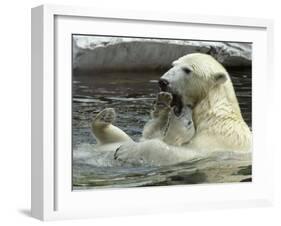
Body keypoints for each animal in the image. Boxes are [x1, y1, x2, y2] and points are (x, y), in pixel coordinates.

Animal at [91, 53, 250, 165]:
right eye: (173, 64)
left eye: (187, 70)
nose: (163, 81)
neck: (212, 112)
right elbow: (153, 134)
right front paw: (162, 105)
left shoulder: (217, 140)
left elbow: (180, 153)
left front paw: (126, 151)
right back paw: (105, 117)